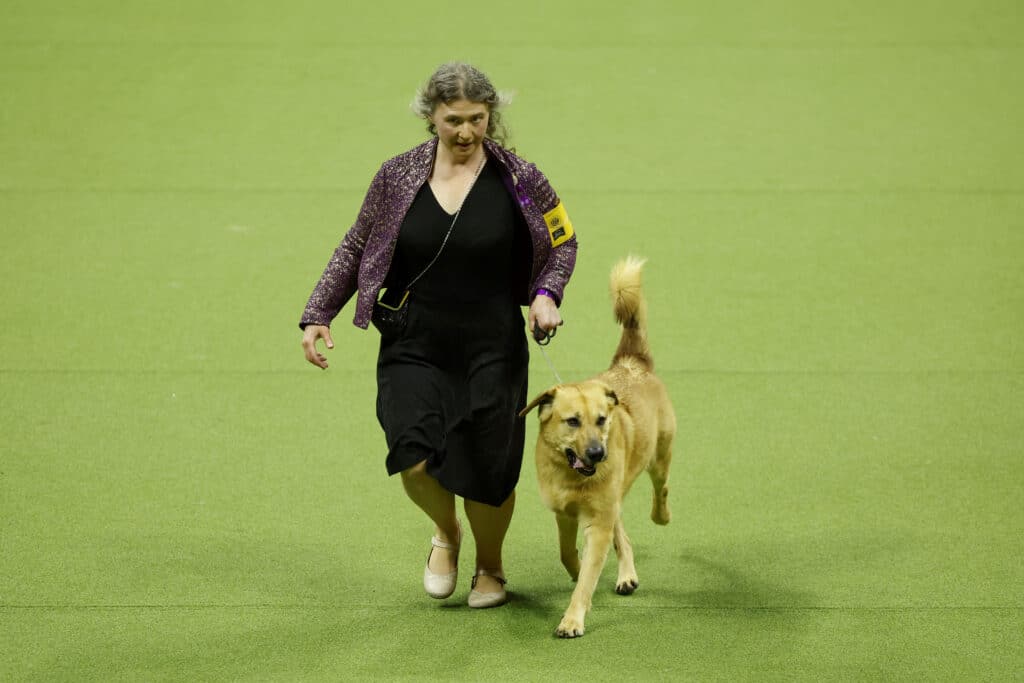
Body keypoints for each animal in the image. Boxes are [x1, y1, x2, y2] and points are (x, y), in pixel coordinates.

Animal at [520, 253, 679, 638]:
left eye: (602, 419)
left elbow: (588, 575)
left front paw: (573, 618)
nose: (598, 453)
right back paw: (626, 576)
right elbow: (569, 555)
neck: (573, 477)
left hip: (659, 456)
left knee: (662, 488)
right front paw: (580, 573)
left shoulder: (597, 521)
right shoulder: (565, 514)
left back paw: (660, 516)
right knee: (623, 534)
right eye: (572, 421)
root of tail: (631, 362)